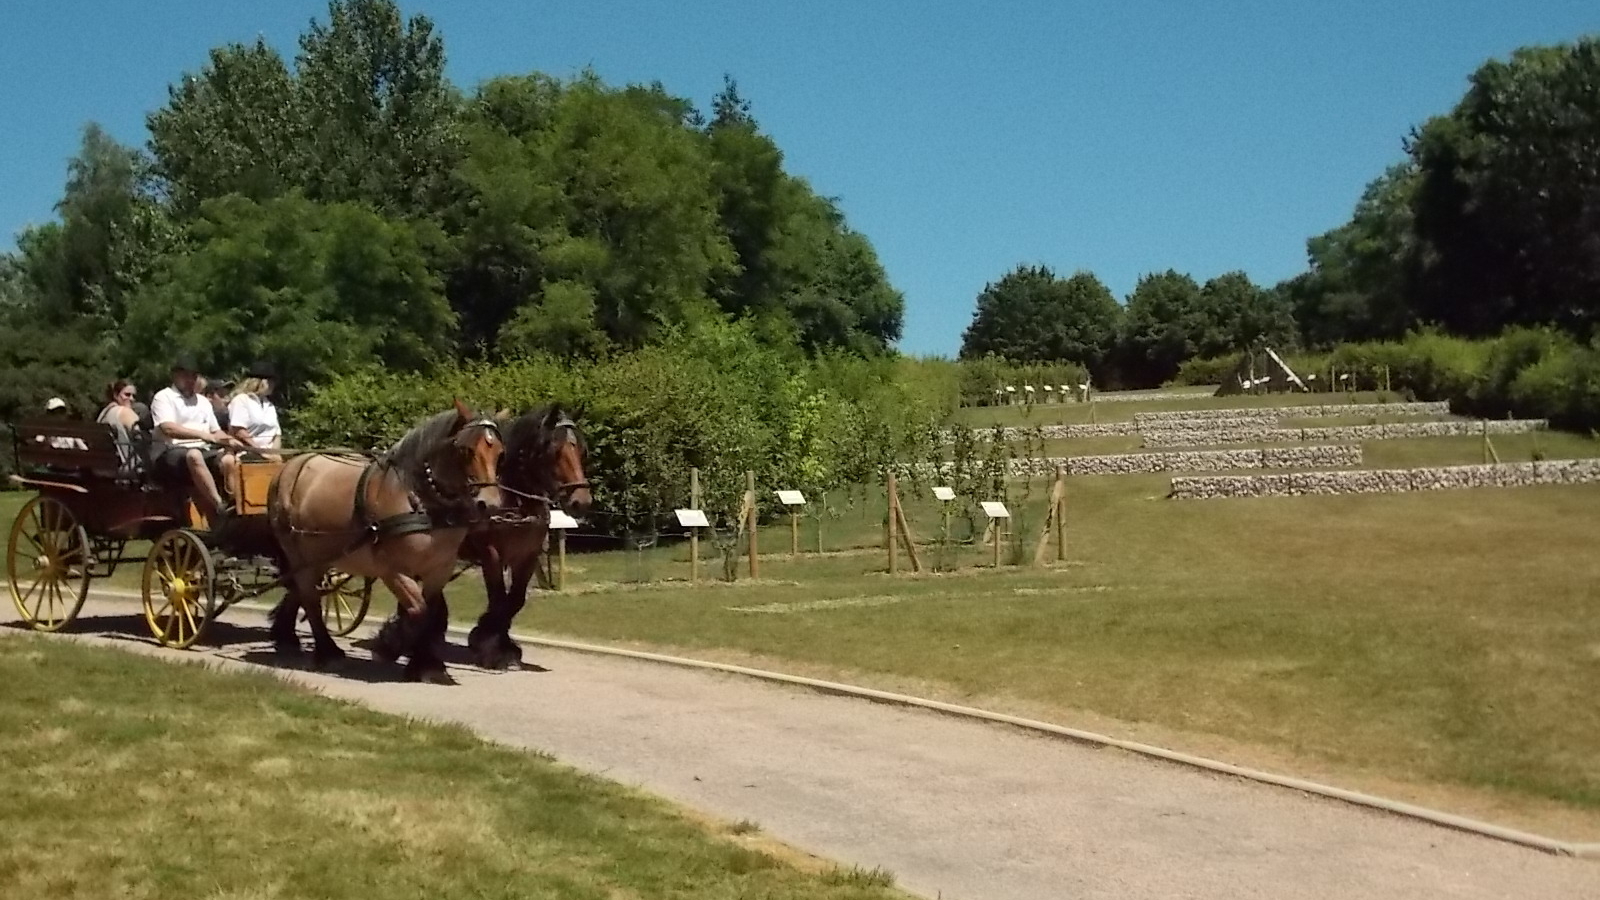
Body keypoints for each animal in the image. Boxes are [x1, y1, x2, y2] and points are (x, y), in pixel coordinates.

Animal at [268, 398, 502, 679]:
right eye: (467, 451)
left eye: (500, 453)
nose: (490, 504)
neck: (421, 500)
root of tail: (289, 467)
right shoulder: (393, 570)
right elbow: (418, 611)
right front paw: (392, 645)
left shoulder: (439, 569)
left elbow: (430, 613)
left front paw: (425, 662)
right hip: (297, 552)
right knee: (310, 599)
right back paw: (327, 651)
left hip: (320, 555)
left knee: (301, 592)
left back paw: (288, 637)